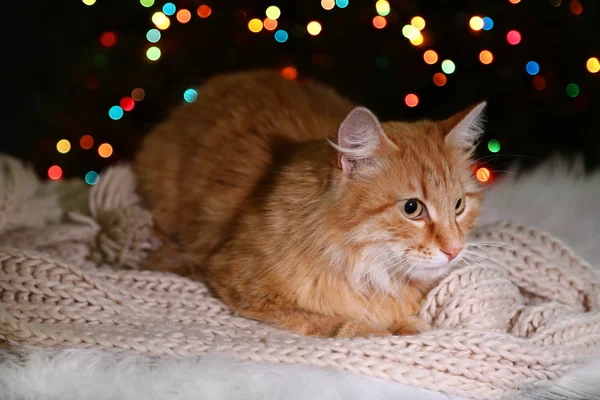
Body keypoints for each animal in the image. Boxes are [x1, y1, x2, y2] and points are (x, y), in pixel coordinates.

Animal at [134, 69, 486, 338]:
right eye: (412, 208)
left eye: (458, 205)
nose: (454, 250)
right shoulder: (237, 281)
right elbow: (331, 321)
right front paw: (381, 329)